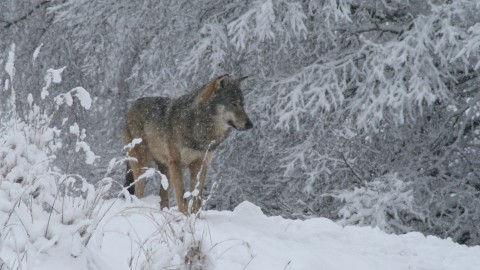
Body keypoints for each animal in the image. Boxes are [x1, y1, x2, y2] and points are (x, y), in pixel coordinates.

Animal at [123, 74, 251, 213]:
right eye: (234, 104)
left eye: (243, 105)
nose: (250, 124)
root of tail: (132, 106)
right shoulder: (177, 164)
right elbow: (182, 198)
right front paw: (185, 216)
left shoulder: (200, 164)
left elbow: (197, 199)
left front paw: (195, 217)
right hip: (143, 166)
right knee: (138, 192)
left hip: (165, 170)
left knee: (163, 196)